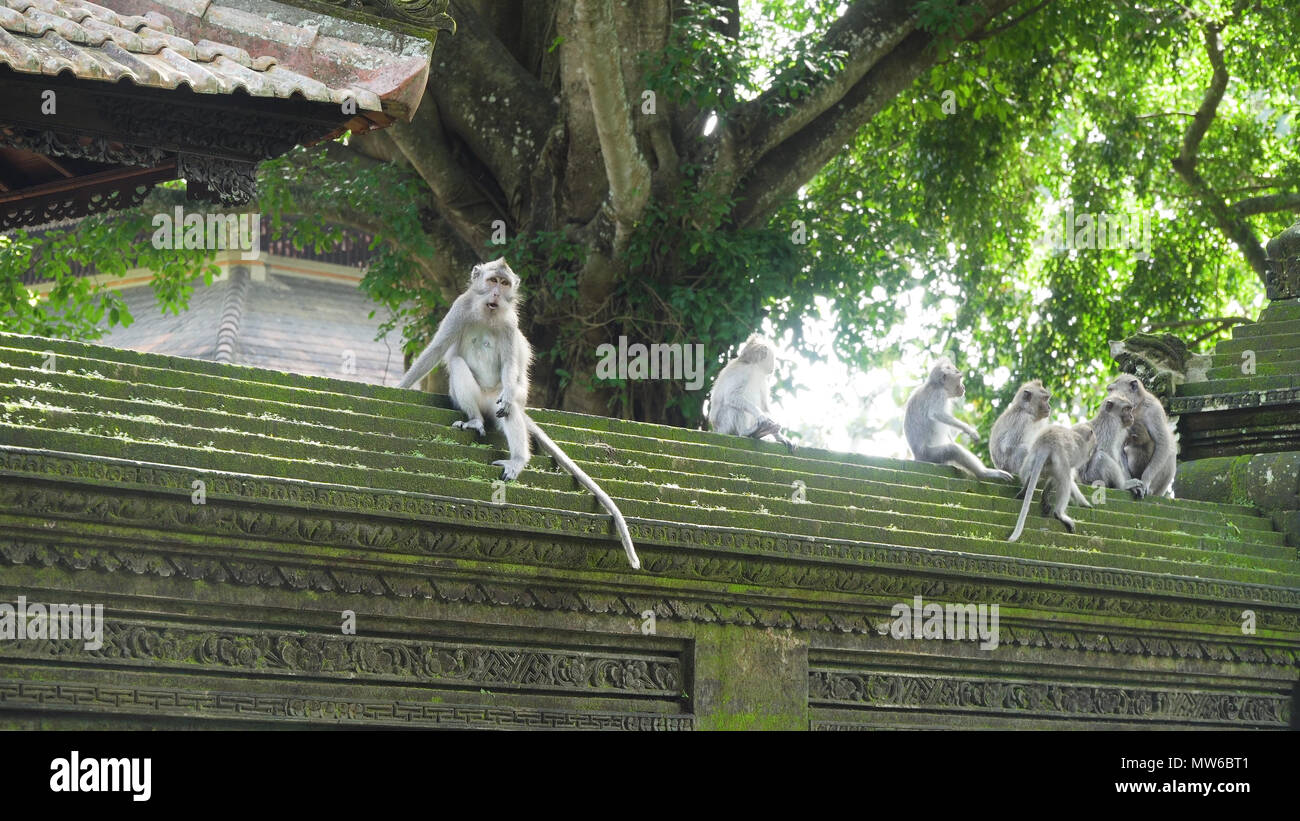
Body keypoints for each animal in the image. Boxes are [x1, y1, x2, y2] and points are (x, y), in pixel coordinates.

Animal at [398, 258, 640, 570]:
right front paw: (401, 386)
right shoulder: (459, 307)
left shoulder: (510, 326)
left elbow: (511, 366)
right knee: (459, 363)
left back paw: (518, 457)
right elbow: (437, 349)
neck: (487, 315)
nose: (496, 294)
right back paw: (475, 420)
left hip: (496, 397)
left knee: (508, 405)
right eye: (492, 281)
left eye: (504, 284)